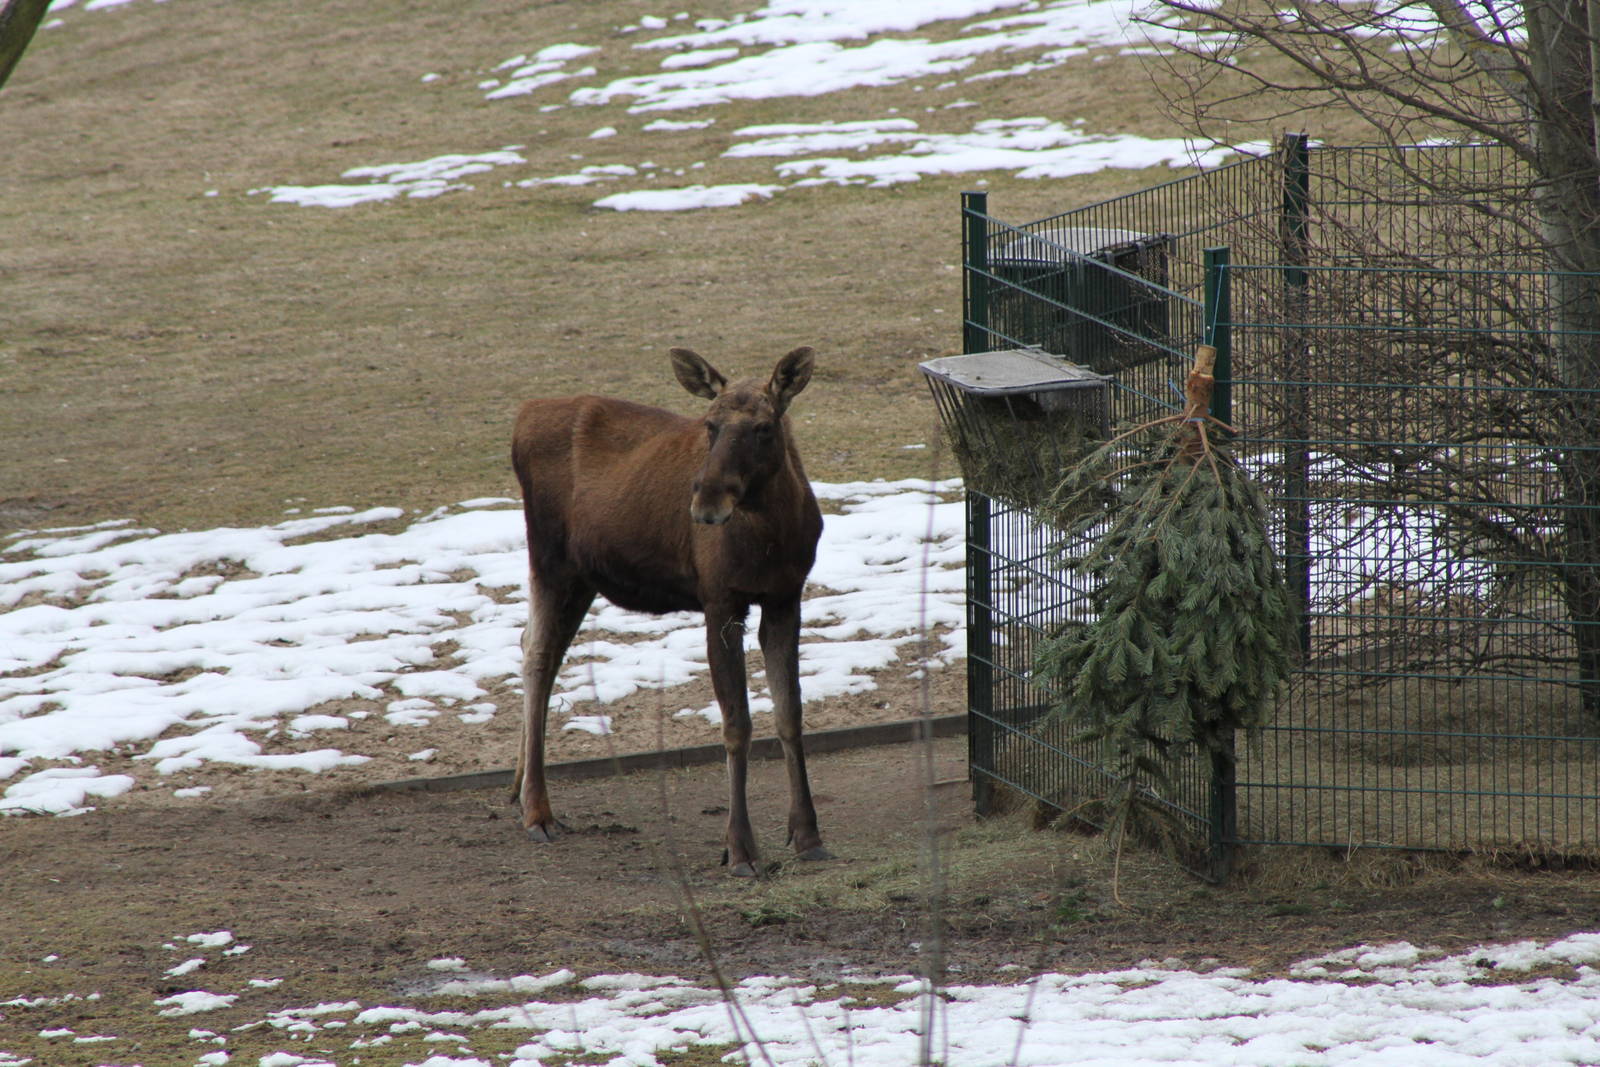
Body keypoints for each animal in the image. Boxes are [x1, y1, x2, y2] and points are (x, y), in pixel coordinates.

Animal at [509, 345, 830, 877]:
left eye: (764, 427)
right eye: (710, 425)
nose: (706, 501)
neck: (774, 538)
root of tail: (522, 415)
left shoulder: (786, 596)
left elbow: (791, 714)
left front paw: (807, 835)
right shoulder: (720, 599)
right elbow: (737, 724)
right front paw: (740, 849)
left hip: (583, 575)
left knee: (535, 647)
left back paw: (516, 791)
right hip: (551, 557)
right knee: (538, 653)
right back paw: (538, 812)